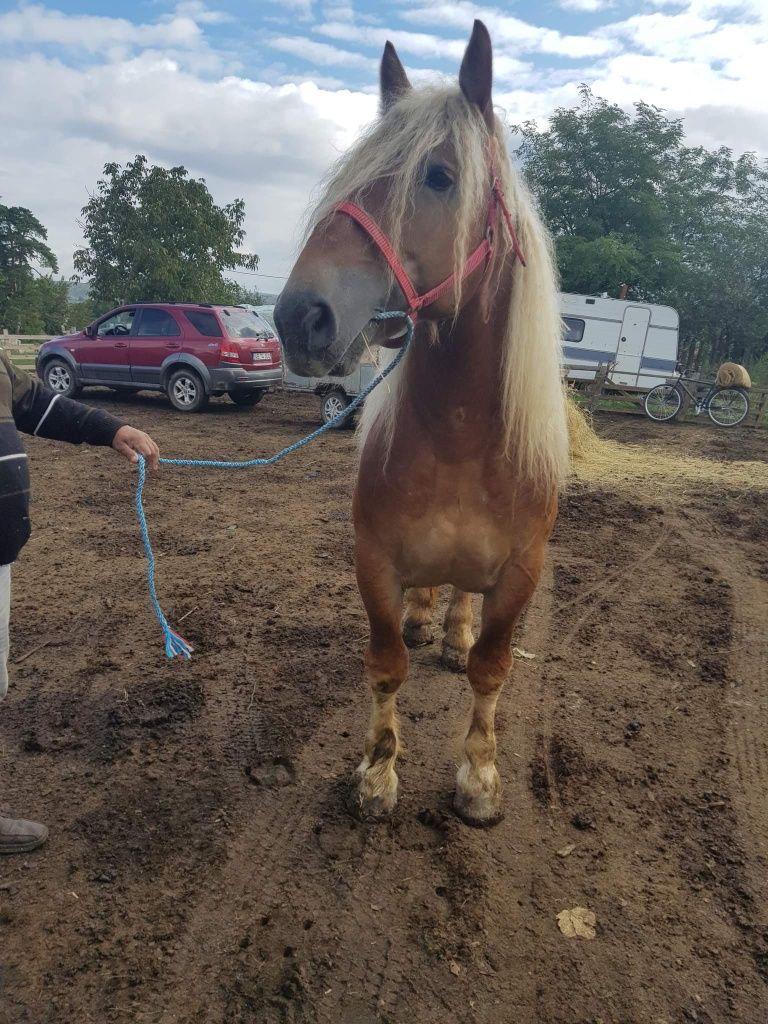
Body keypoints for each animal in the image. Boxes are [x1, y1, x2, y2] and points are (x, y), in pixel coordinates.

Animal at [274, 19, 569, 827]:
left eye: (438, 176)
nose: (300, 317)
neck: (461, 438)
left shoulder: (520, 576)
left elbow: (491, 669)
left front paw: (480, 780)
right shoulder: (373, 561)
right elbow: (386, 664)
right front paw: (377, 776)